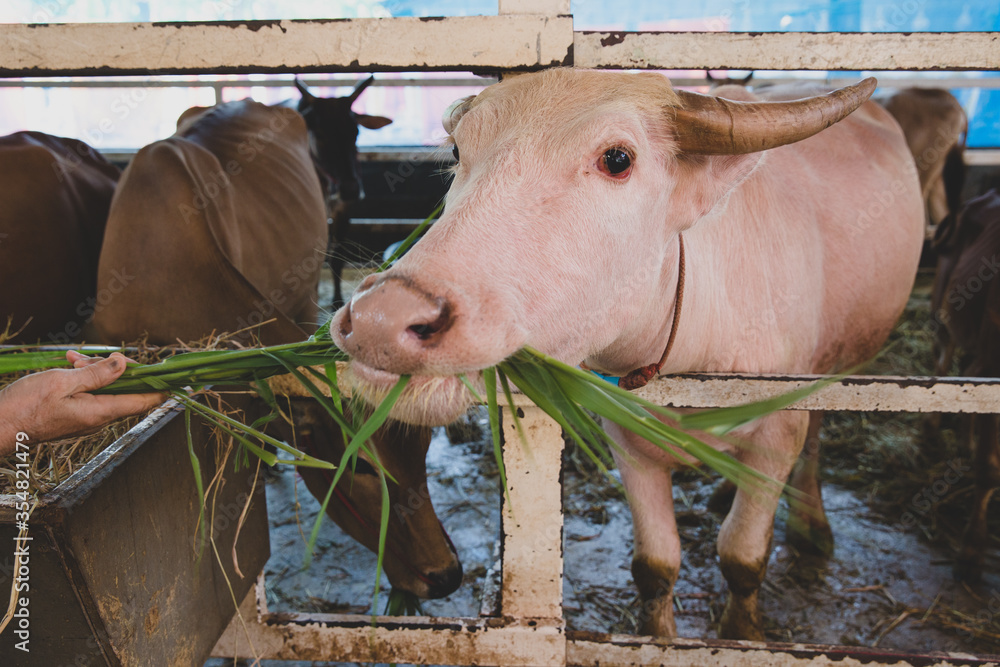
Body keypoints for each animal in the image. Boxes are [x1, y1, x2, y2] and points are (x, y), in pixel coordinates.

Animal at [330, 69, 920, 640]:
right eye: (457, 151)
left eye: (617, 159)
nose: (382, 318)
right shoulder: (627, 441)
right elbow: (655, 565)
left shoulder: (779, 432)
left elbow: (742, 556)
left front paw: (742, 631)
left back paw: (811, 526)